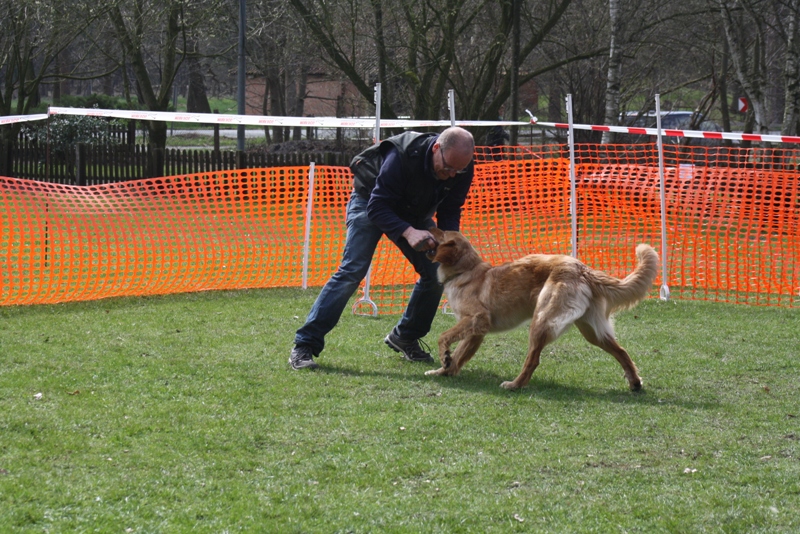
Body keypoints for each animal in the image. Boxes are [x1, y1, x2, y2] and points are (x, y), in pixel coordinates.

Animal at [424, 228, 659, 391]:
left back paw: (515, 385)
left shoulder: (477, 318)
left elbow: (444, 337)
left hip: (542, 320)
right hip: (592, 330)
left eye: (441, 231)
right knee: (621, 351)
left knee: (533, 359)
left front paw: (444, 357)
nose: (428, 225)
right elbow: (460, 355)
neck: (465, 271)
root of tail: (583, 268)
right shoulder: (477, 332)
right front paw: (444, 371)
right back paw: (635, 383)